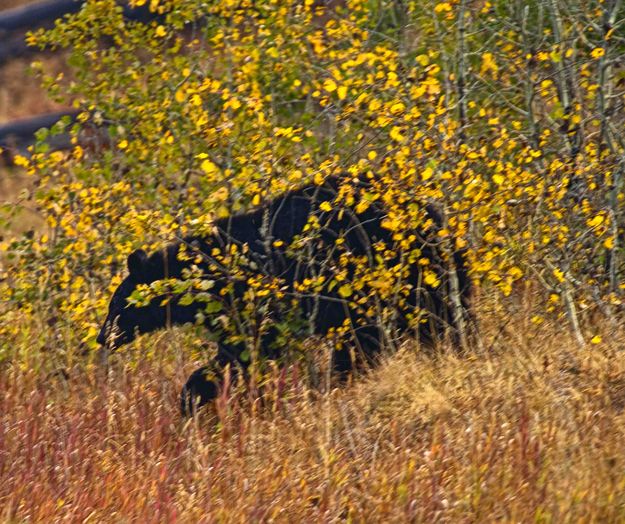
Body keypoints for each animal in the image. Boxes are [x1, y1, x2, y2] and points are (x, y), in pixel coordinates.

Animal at [96, 175, 468, 414]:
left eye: (117, 305)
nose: (102, 337)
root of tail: (434, 213)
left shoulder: (254, 299)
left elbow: (245, 350)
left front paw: (192, 397)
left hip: (399, 276)